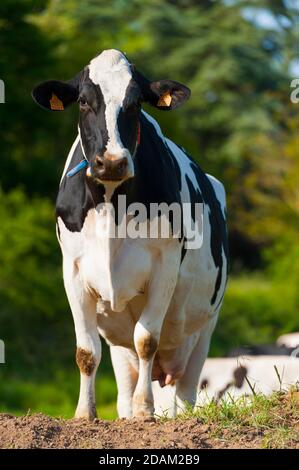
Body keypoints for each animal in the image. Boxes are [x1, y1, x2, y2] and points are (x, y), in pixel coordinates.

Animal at [32, 49, 229, 420]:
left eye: (136, 103)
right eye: (83, 101)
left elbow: (146, 339)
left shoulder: (165, 265)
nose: (111, 162)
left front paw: (145, 410)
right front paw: (85, 413)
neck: (111, 204)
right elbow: (86, 350)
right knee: (124, 382)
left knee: (184, 393)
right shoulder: (73, 269)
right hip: (121, 353)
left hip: (203, 332)